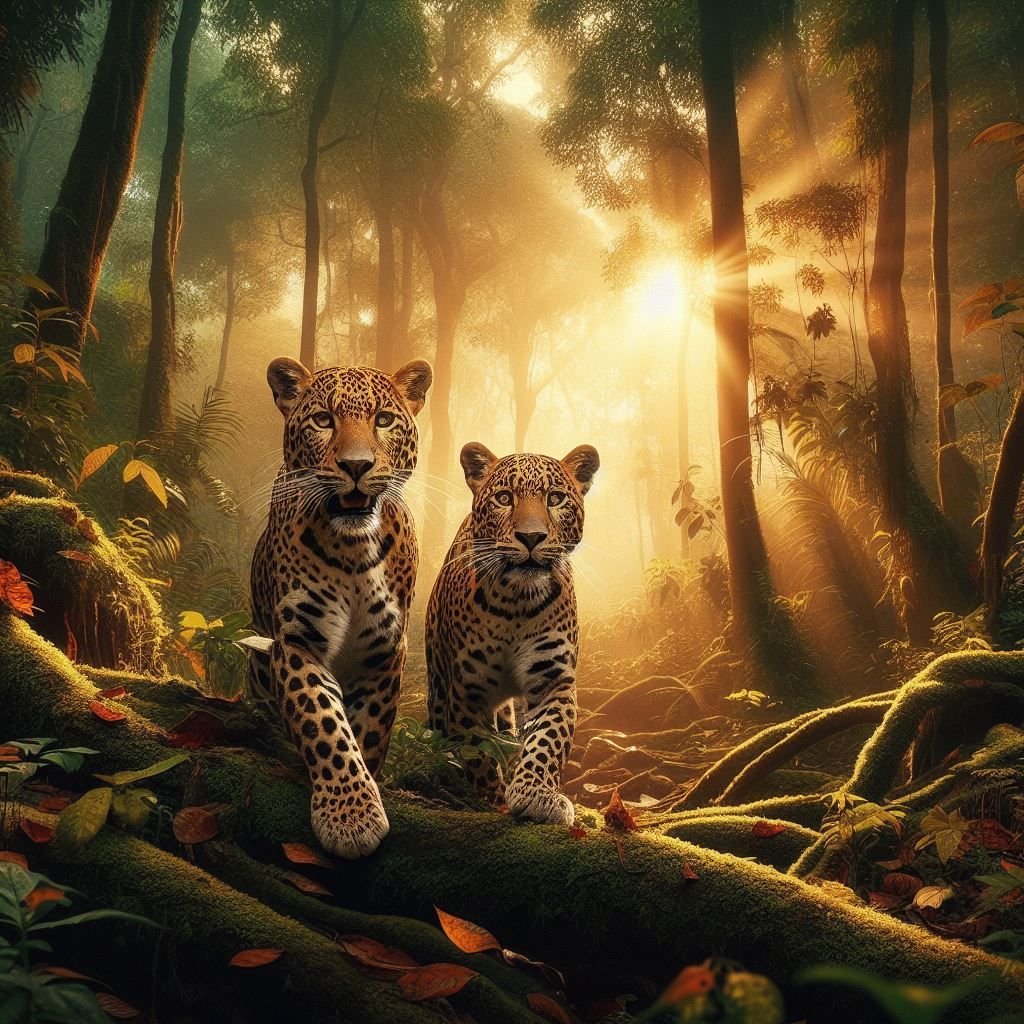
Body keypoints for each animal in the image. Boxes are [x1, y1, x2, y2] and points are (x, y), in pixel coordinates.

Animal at [248, 356, 432, 858]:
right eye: (322, 420)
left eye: (383, 420)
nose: (356, 465)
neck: (352, 552)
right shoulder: (295, 641)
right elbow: (323, 720)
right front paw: (350, 816)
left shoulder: (385, 652)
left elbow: (368, 729)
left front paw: (361, 798)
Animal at [425, 442, 600, 825]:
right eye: (504, 497)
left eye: (555, 498)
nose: (531, 537)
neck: (516, 602)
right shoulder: (467, 687)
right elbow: (477, 749)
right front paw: (491, 798)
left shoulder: (553, 679)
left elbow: (547, 739)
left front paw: (535, 794)